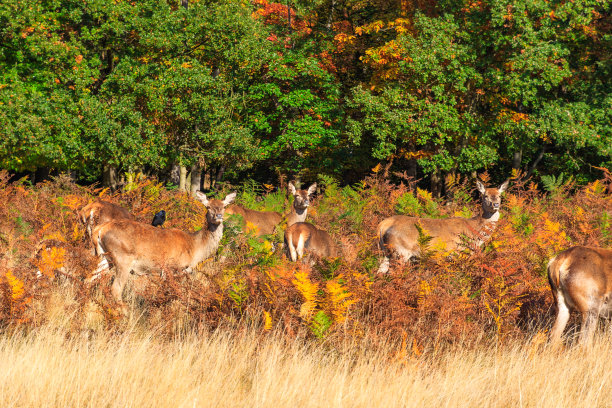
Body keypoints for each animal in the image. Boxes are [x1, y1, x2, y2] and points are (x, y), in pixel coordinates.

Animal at [91, 191, 237, 310]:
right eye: (208, 207)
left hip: (105, 257)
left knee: (90, 278)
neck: (195, 248)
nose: (218, 216)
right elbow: (173, 295)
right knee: (115, 289)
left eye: (224, 206)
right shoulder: (173, 268)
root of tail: (99, 229)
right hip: (123, 259)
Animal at [376, 179, 510, 272]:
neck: (475, 236)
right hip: (400, 251)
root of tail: (382, 225)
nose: (496, 204)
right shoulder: (459, 252)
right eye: (485, 195)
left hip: (385, 252)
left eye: (499, 195)